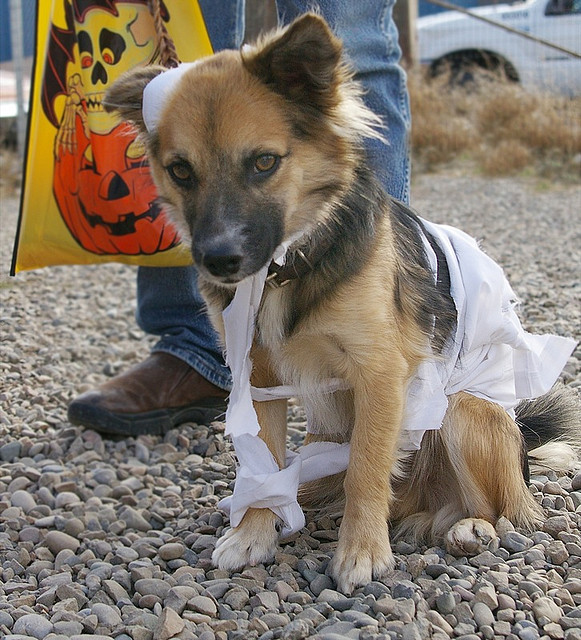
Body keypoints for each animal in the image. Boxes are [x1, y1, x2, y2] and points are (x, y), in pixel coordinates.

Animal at [105, 14, 578, 593]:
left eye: (264, 162)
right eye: (180, 171)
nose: (218, 260)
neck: (287, 264)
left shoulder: (380, 373)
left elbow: (368, 469)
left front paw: (362, 552)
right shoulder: (258, 377)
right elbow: (263, 465)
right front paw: (253, 533)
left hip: (464, 412)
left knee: (502, 507)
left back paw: (469, 526)